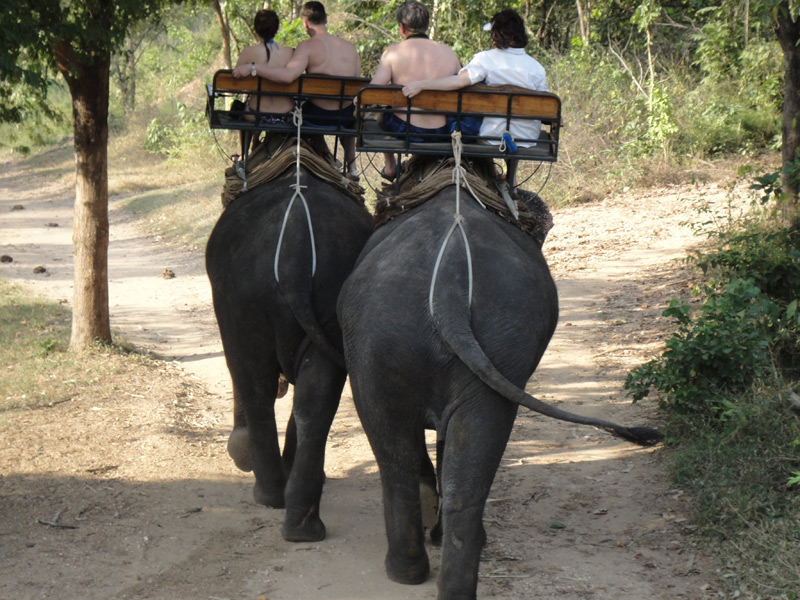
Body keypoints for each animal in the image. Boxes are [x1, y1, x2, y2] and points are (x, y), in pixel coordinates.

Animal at [203, 163, 372, 544]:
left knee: (255, 385)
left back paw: (269, 496)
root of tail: (295, 250)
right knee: (313, 400)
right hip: (316, 299)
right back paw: (301, 526)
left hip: (243, 300)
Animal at [338, 161, 664, 600]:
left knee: (408, 457)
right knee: (415, 457)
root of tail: (449, 287)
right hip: (424, 339)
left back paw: (416, 571)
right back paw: (422, 570)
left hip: (410, 341)